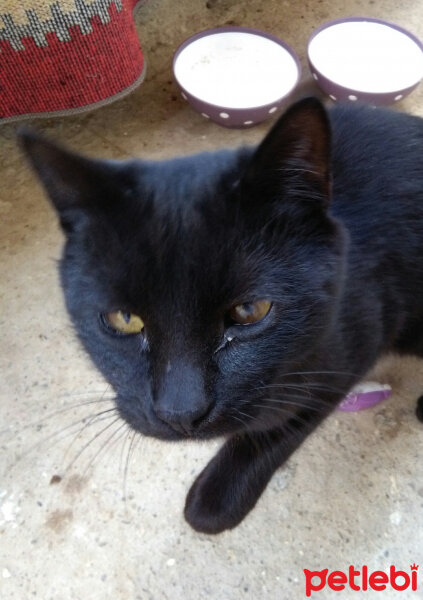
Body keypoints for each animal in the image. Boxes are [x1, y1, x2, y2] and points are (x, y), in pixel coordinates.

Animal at [19, 98, 423, 536]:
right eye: (124, 318)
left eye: (249, 311)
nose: (181, 413)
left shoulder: (353, 343)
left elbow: (286, 418)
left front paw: (215, 499)